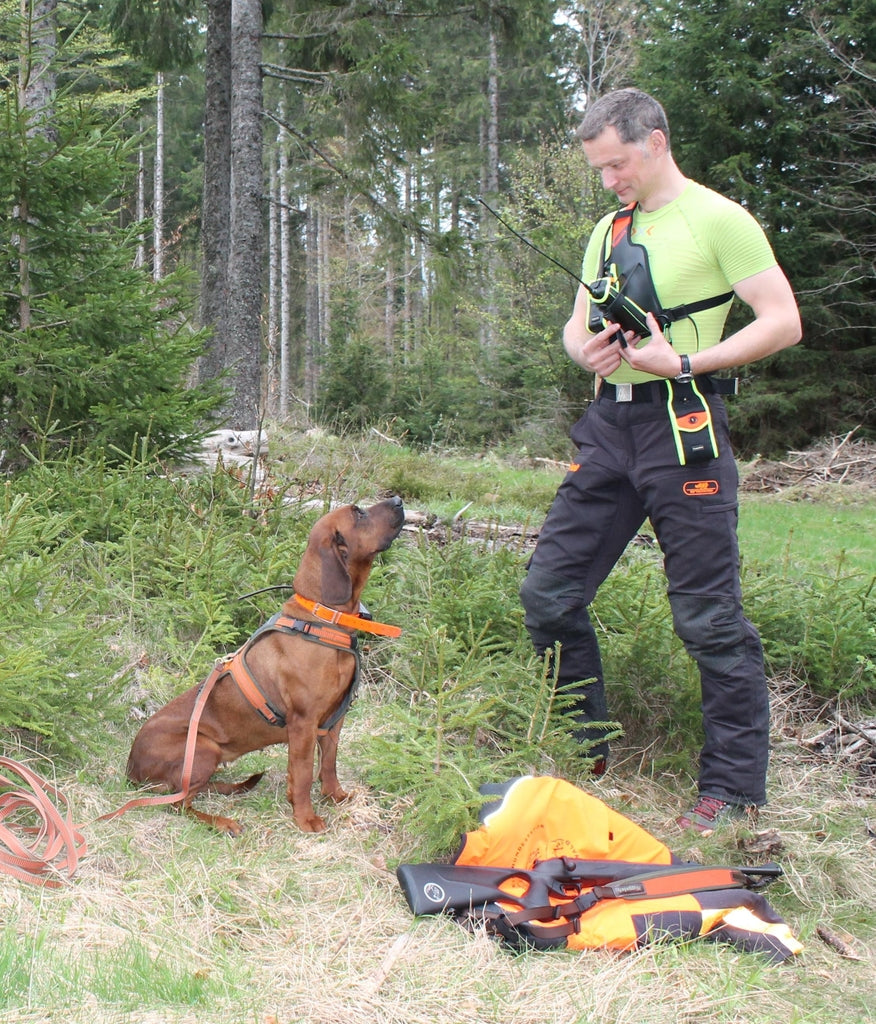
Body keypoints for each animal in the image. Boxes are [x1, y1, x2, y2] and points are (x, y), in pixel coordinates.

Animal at [124, 493, 405, 831]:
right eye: (359, 513)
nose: (399, 499)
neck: (324, 619)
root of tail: (131, 769)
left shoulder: (335, 719)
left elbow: (329, 764)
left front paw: (335, 796)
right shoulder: (303, 723)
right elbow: (302, 773)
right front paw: (306, 818)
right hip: (204, 748)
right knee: (179, 804)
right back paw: (222, 822)